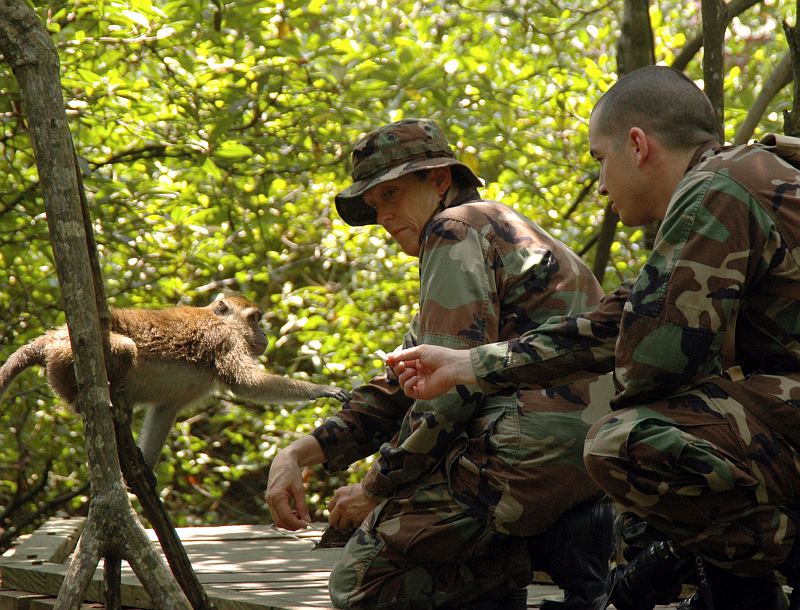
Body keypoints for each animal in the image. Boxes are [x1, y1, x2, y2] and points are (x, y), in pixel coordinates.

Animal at [0, 294, 350, 468]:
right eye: (255, 319)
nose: (264, 334)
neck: (223, 322)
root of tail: (53, 337)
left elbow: (165, 411)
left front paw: (145, 471)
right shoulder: (224, 340)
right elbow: (246, 382)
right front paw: (322, 389)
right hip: (67, 357)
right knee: (125, 349)